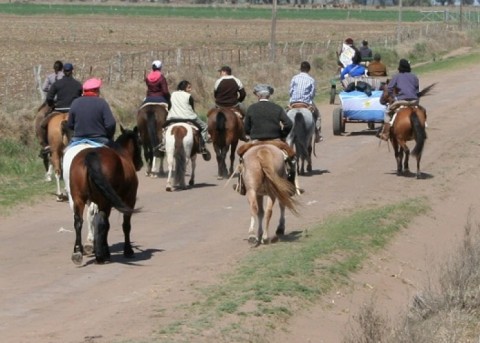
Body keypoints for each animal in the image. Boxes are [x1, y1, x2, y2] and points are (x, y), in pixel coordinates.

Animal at [61, 127, 142, 266]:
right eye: (140, 142)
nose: (140, 164)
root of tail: (90, 156)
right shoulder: (130, 199)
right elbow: (126, 225)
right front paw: (128, 250)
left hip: (78, 198)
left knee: (78, 221)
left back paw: (78, 252)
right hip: (104, 201)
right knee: (100, 221)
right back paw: (100, 255)